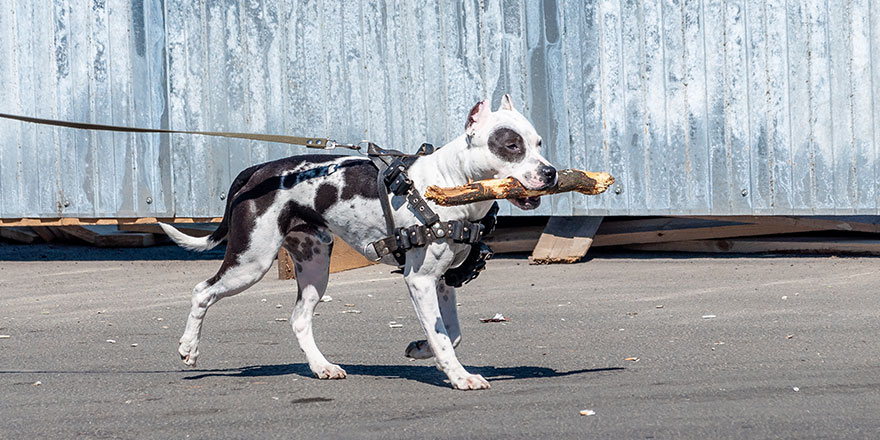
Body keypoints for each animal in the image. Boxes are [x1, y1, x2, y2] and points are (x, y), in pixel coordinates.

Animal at [159, 94, 556, 390]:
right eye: (512, 146)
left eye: (539, 143)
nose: (550, 172)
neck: (449, 182)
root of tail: (259, 171)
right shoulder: (420, 280)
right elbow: (444, 336)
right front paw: (460, 376)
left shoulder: (442, 282)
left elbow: (451, 332)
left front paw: (421, 348)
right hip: (251, 262)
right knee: (202, 291)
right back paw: (189, 348)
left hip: (314, 265)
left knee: (299, 319)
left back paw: (322, 367)